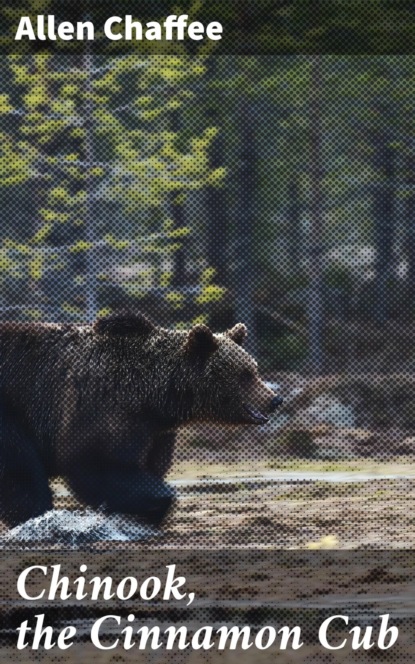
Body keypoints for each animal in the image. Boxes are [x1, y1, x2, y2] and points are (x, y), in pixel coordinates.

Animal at [0, 312, 282, 528]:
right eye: (244, 374)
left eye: (254, 369)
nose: (274, 398)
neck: (156, 398)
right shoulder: (101, 407)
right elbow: (98, 464)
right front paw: (156, 502)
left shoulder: (156, 431)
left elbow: (147, 467)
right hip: (12, 409)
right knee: (21, 466)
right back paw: (34, 513)